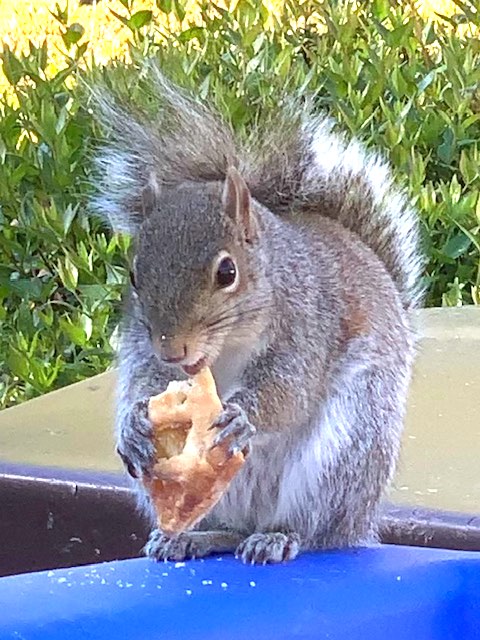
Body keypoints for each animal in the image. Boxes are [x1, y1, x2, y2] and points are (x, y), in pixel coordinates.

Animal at [91, 70, 424, 564]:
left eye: (227, 272)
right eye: (133, 274)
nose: (173, 350)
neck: (225, 350)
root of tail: (359, 524)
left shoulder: (307, 326)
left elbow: (289, 391)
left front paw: (241, 416)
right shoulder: (141, 347)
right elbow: (143, 385)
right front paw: (135, 425)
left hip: (343, 452)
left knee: (314, 529)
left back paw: (278, 537)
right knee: (227, 529)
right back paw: (189, 537)